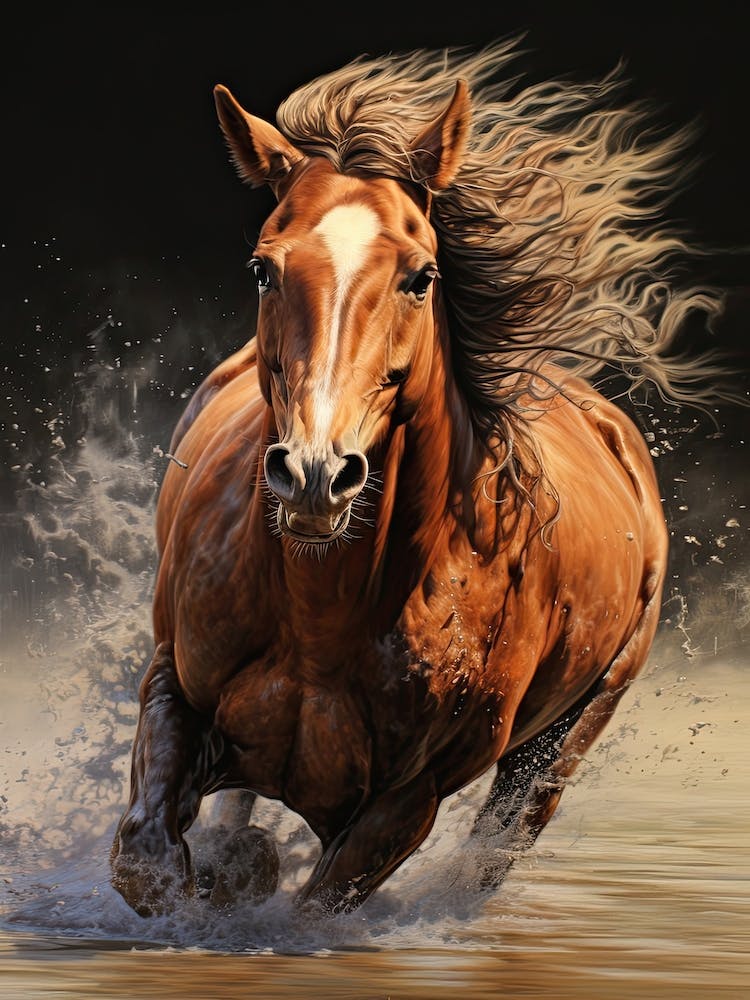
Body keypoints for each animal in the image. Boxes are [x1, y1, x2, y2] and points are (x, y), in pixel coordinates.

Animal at [110, 40, 725, 918]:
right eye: (262, 267)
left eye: (421, 275)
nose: (315, 475)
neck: (324, 618)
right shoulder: (173, 690)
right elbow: (148, 863)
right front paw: (232, 871)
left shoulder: (408, 799)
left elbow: (316, 909)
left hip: (556, 749)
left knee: (494, 850)